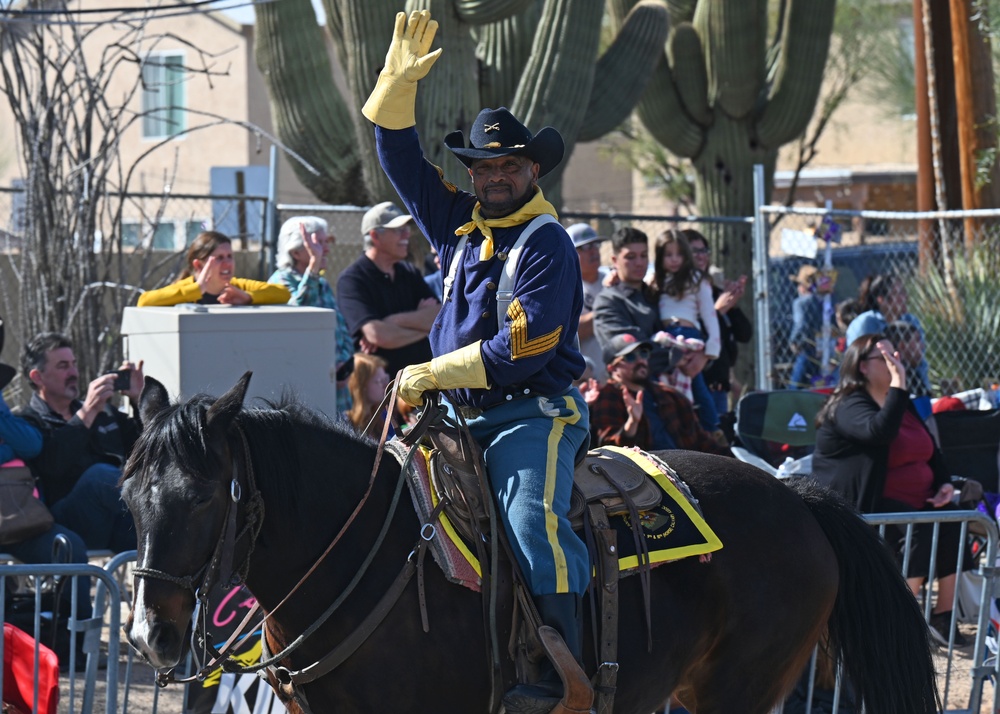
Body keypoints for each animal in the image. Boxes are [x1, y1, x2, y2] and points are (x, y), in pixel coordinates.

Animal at [123, 376, 936, 708]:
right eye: (130, 498)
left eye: (202, 497)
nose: (148, 636)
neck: (361, 558)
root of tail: (798, 499)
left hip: (739, 689)